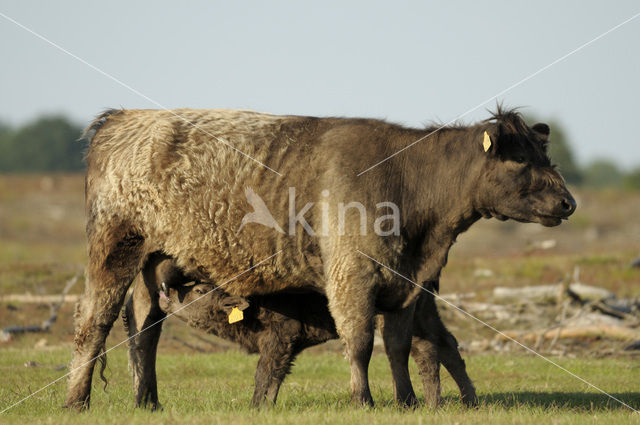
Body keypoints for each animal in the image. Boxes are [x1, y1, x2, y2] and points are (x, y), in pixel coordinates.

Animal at [65, 106, 576, 408]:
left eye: (543, 153)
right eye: (519, 159)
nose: (568, 201)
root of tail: (124, 117)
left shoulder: (409, 287)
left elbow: (399, 345)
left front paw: (408, 402)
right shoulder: (353, 275)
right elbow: (360, 342)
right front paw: (363, 401)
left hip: (153, 264)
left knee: (144, 329)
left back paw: (147, 401)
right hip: (115, 248)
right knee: (94, 321)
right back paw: (77, 400)